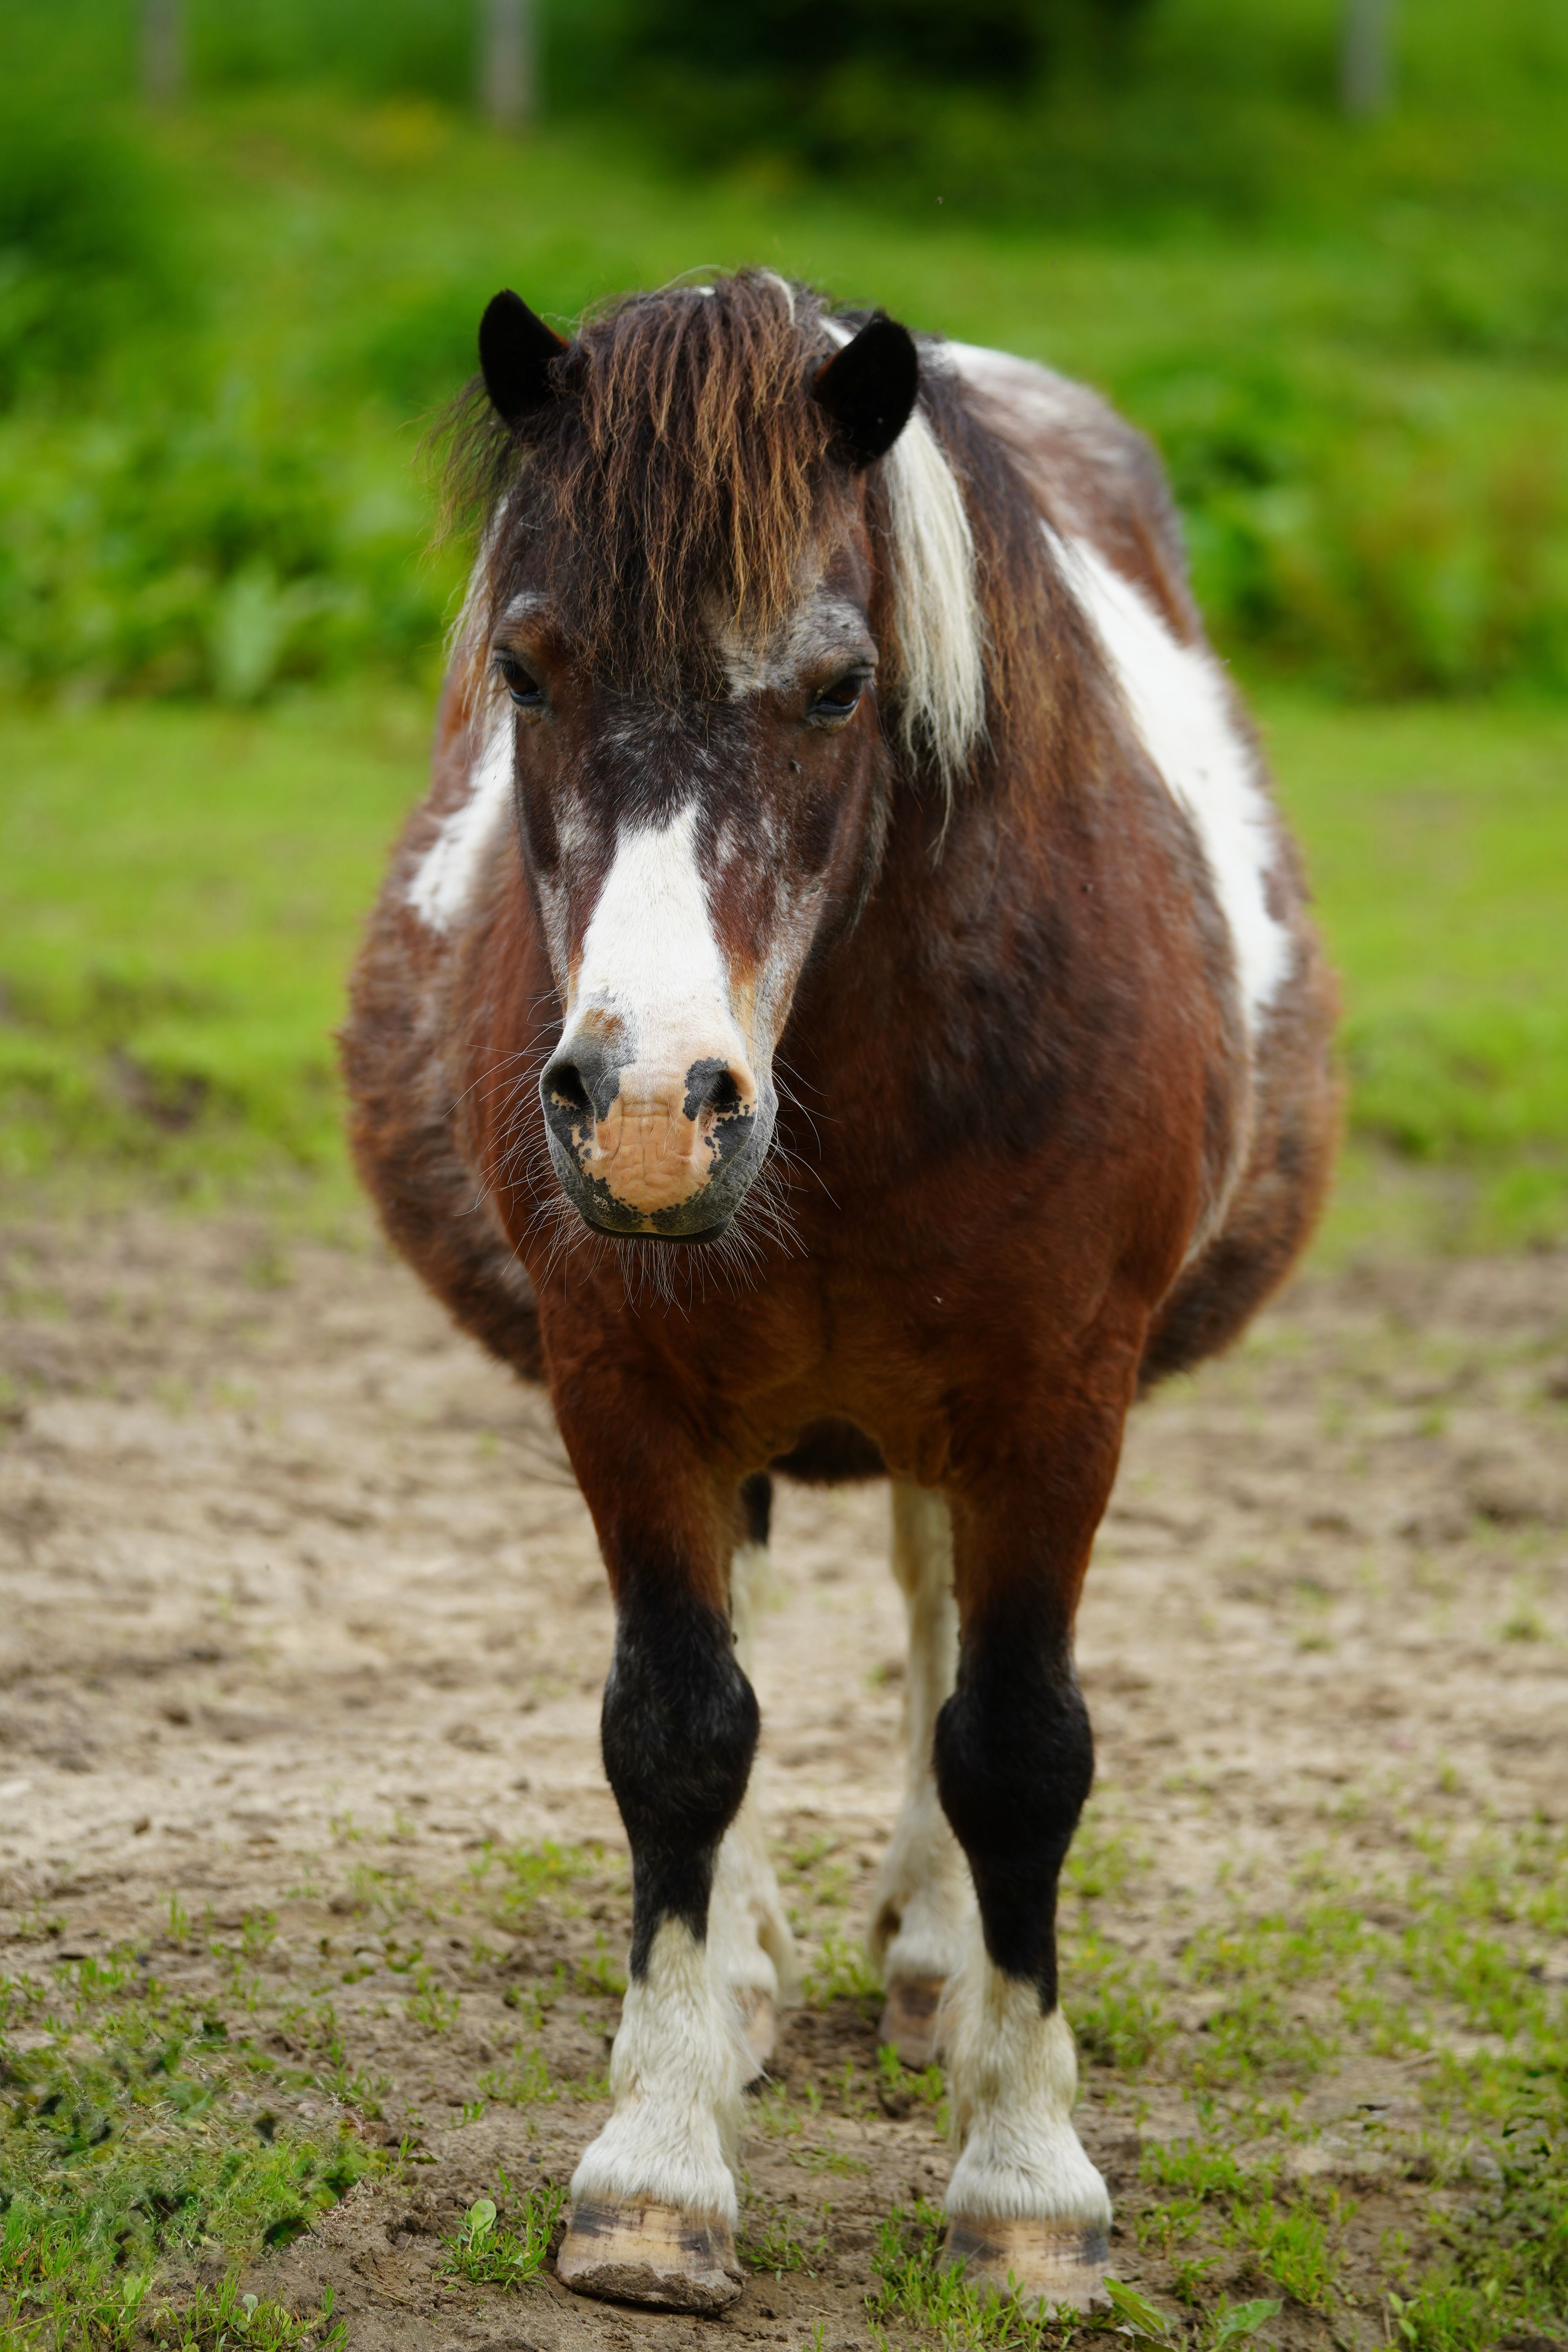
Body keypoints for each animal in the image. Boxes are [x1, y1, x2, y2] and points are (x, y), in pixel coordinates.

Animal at [342, 269, 1338, 2316]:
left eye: (831, 686)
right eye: (526, 669)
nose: (650, 1109)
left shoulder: (1056, 1394)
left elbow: (1018, 1748)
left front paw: (1026, 2179)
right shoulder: (623, 1380)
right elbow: (676, 1730)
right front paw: (656, 2165)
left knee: (944, 1628)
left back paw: (939, 1968)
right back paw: (738, 1983)